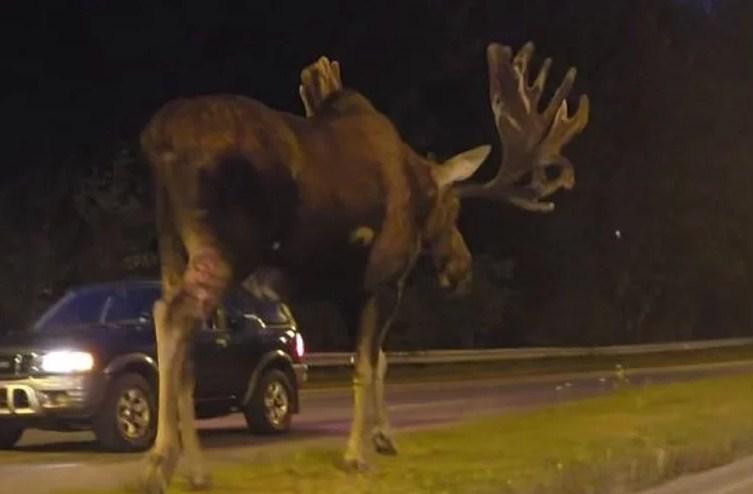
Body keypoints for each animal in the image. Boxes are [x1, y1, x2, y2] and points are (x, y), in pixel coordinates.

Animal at [140, 40, 588, 492]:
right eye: (454, 209)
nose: (460, 267)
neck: (418, 187)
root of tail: (160, 137)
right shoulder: (386, 278)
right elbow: (367, 364)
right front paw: (357, 454)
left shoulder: (347, 290)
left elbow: (378, 360)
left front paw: (383, 437)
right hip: (227, 246)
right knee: (169, 314)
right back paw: (160, 461)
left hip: (172, 247)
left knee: (184, 337)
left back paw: (196, 469)